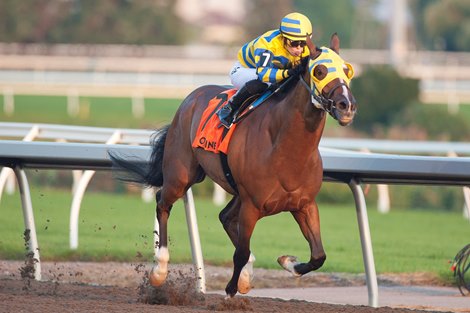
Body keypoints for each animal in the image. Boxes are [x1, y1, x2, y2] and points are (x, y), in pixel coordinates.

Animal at [111, 33, 356, 296]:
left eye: (347, 70)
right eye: (320, 71)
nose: (346, 106)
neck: (286, 149)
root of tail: (192, 97)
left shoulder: (304, 204)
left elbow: (318, 255)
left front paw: (286, 261)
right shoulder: (252, 205)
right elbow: (240, 253)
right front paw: (230, 291)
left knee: (225, 217)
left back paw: (246, 274)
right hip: (180, 175)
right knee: (163, 203)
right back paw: (159, 270)